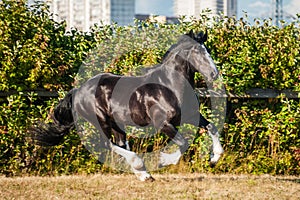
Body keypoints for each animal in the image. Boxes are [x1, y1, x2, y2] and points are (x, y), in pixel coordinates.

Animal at [31, 29, 223, 181]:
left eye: (207, 50)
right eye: (197, 51)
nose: (214, 74)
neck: (169, 85)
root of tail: (79, 90)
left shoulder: (190, 116)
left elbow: (211, 127)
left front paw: (214, 158)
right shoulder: (163, 124)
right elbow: (183, 143)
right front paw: (163, 161)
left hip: (117, 123)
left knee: (120, 144)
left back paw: (143, 174)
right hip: (101, 121)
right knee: (108, 145)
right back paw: (141, 168)